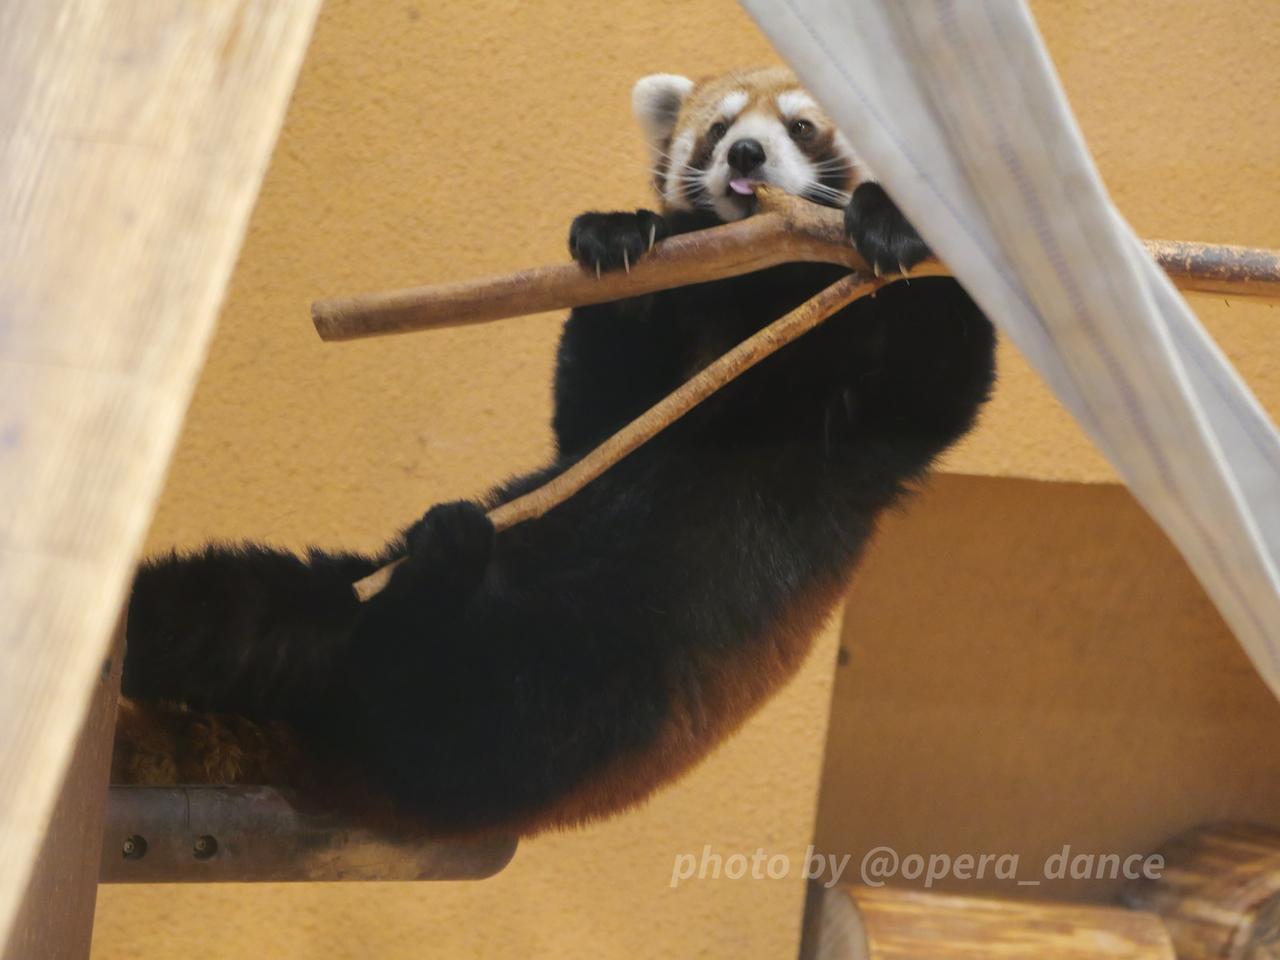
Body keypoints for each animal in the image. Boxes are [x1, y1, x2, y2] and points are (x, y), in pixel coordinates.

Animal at [121, 67, 996, 837]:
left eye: (804, 128)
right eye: (717, 130)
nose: (746, 156)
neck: (762, 302)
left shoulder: (853, 426)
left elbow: (943, 369)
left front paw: (896, 220)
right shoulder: (649, 393)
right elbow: (594, 408)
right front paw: (618, 233)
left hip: (580, 689)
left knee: (445, 705)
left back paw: (446, 566)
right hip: (312, 611)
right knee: (231, 605)